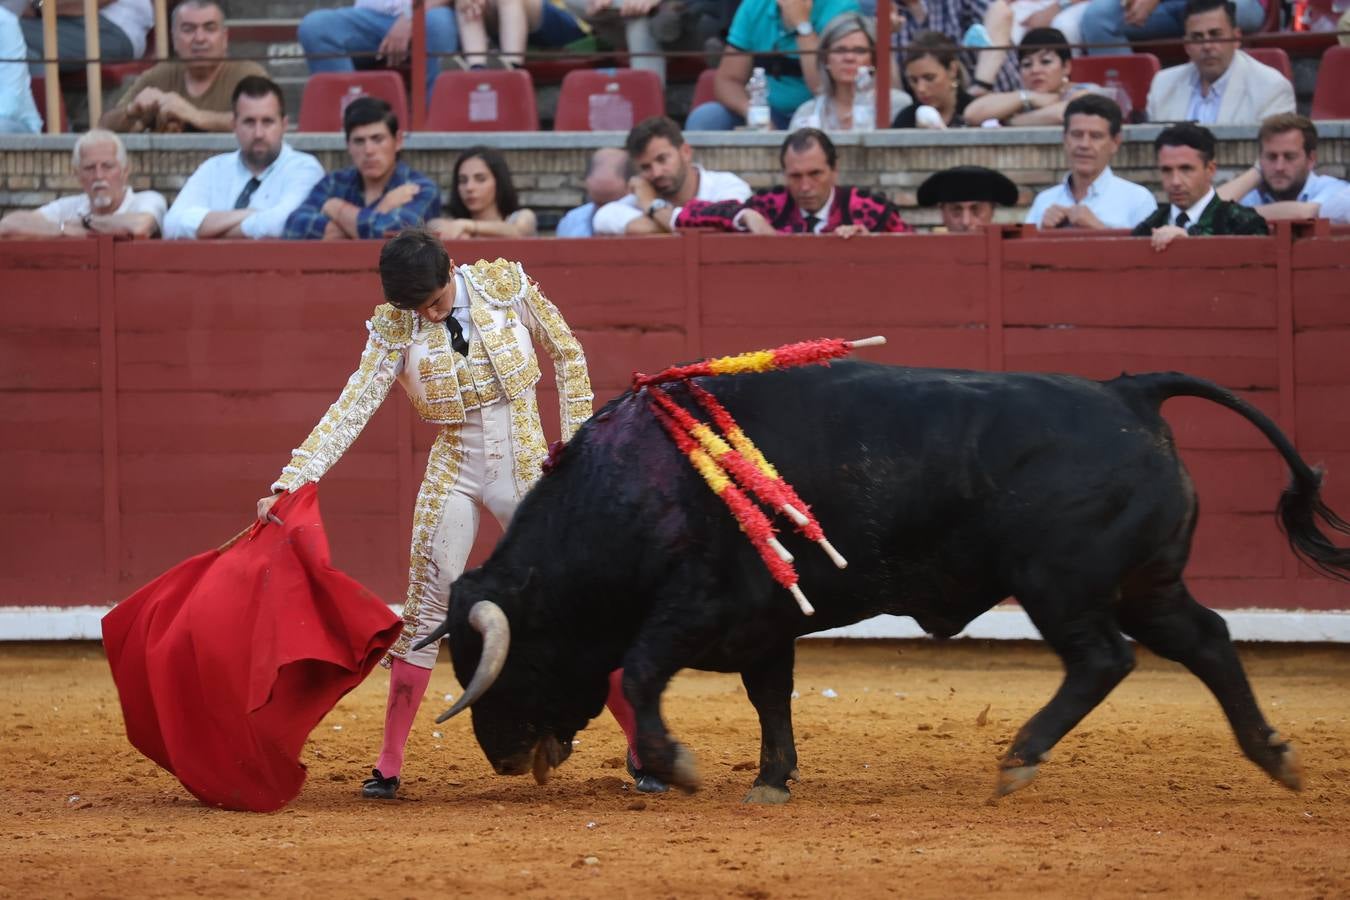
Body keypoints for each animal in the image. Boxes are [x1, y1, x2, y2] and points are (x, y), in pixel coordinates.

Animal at [415, 361, 1344, 804]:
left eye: (512, 663)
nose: (504, 759)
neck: (632, 488)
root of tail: (1133, 394)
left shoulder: (700, 606)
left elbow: (640, 669)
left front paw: (676, 764)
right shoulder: (763, 624)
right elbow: (771, 697)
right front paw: (771, 780)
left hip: (1061, 583)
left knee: (1102, 660)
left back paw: (1019, 759)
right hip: (1147, 584)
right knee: (1208, 640)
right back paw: (1275, 756)